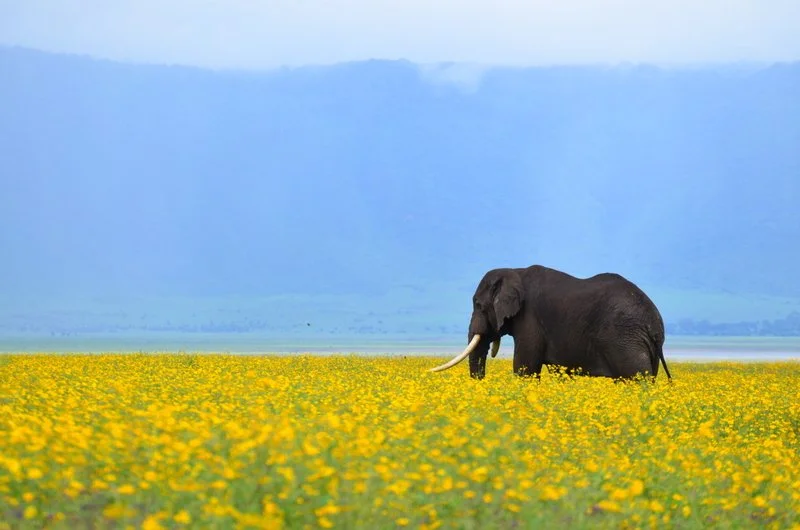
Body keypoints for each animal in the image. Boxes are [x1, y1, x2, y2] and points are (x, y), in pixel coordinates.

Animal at [429, 265, 672, 381]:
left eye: (479, 305)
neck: (515, 271)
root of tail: (655, 325)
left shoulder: (529, 317)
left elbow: (525, 367)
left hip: (624, 338)